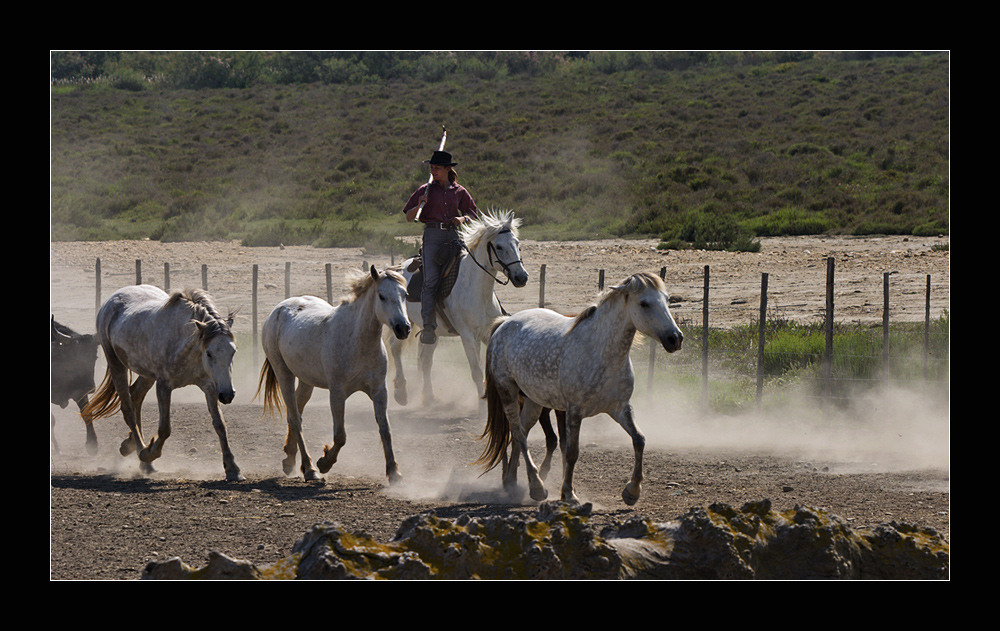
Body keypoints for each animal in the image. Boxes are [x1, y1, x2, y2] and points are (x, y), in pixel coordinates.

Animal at [82, 284, 242, 482]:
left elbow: (220, 424)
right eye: (209, 353)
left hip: (147, 375)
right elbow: (165, 429)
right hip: (116, 364)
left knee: (135, 397)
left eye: (233, 352)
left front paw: (232, 468)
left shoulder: (210, 386)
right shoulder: (164, 385)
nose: (227, 395)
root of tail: (110, 301)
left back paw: (134, 450)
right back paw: (142, 453)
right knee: (128, 408)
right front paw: (149, 452)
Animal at [258, 266, 414, 484]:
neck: (358, 341)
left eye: (405, 294)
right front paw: (324, 462)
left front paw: (394, 472)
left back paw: (289, 459)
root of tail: (279, 308)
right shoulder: (337, 393)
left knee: (296, 411)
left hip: (306, 381)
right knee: (296, 418)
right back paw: (310, 469)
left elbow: (385, 430)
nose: (403, 328)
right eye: (382, 296)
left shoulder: (379, 391)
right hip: (284, 374)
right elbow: (340, 436)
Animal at [388, 210, 532, 408]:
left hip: (432, 332)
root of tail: (398, 268)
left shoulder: (485, 333)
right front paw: (481, 406)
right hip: (404, 323)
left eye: (517, 243)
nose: (521, 277)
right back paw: (401, 393)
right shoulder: (467, 335)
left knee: (425, 361)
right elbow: (477, 372)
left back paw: (429, 397)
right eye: (499, 246)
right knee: (395, 348)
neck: (479, 291)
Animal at [478, 274, 684, 506]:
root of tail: (504, 324)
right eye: (644, 303)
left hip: (534, 402)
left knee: (519, 432)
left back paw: (513, 483)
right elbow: (571, 452)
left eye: (667, 299)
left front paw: (632, 491)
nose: (675, 338)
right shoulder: (574, 412)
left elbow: (639, 440)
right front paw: (569, 493)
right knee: (519, 433)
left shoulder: (620, 408)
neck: (601, 351)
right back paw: (537, 487)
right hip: (508, 391)